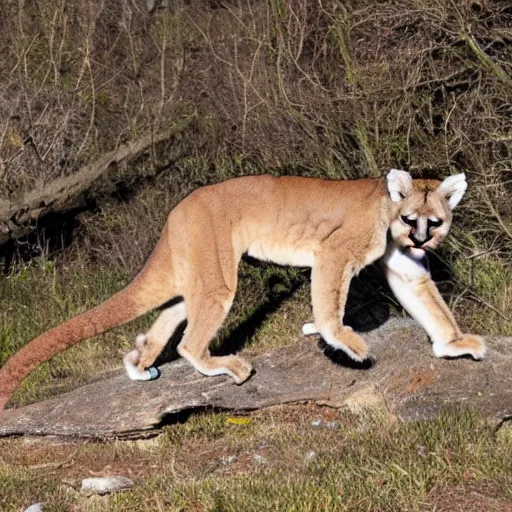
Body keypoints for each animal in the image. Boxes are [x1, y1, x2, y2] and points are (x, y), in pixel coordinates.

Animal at [0, 170, 484, 410]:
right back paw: (224, 366)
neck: (386, 211)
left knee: (170, 315)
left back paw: (140, 363)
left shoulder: (404, 268)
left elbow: (430, 304)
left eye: (435, 221)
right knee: (189, 343)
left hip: (197, 278)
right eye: (410, 218)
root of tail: (177, 210)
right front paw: (346, 342)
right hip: (218, 278)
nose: (420, 241)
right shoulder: (333, 252)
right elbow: (330, 306)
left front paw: (454, 344)